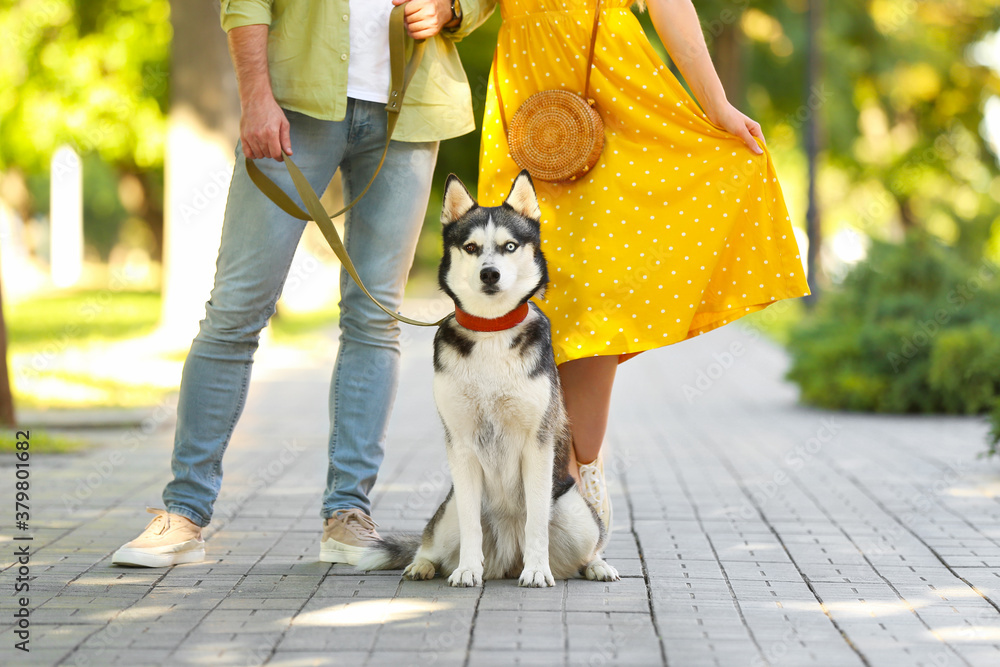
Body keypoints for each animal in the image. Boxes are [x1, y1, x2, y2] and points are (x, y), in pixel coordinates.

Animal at [360, 170, 616, 588]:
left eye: (509, 246)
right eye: (471, 247)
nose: (489, 273)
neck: (492, 328)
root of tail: (507, 559)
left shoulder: (538, 445)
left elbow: (537, 523)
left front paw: (538, 570)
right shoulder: (461, 445)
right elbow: (470, 525)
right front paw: (467, 569)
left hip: (576, 511)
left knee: (585, 546)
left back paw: (594, 565)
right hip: (446, 512)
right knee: (431, 540)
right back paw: (424, 564)